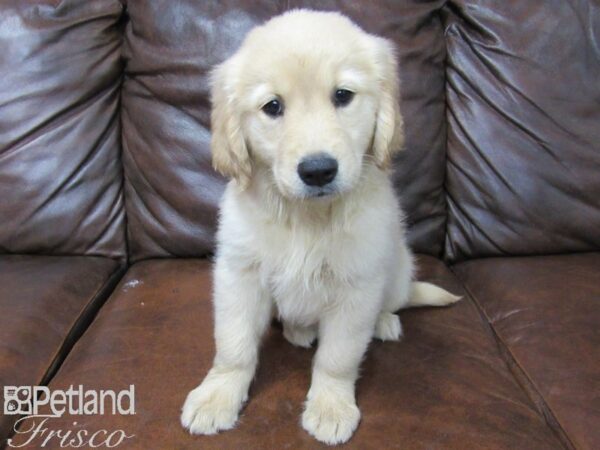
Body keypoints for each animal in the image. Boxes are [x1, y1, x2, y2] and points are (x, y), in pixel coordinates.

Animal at [180, 8, 462, 444]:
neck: (306, 216)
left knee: (392, 301)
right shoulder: (239, 275)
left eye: (343, 96)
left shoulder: (357, 287)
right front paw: (218, 395)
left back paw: (384, 321)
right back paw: (298, 331)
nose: (317, 171)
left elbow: (337, 357)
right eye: (272, 106)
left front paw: (331, 406)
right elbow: (233, 344)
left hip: (398, 270)